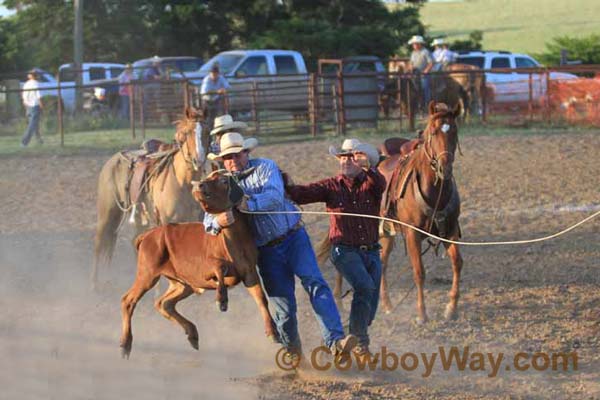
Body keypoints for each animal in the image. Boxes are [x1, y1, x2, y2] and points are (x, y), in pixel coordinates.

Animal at [91, 107, 209, 288]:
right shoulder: (166, 223)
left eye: (208, 132)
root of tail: (113, 160)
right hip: (107, 213)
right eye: (187, 132)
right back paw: (94, 285)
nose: (199, 160)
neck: (182, 182)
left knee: (134, 241)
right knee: (99, 243)